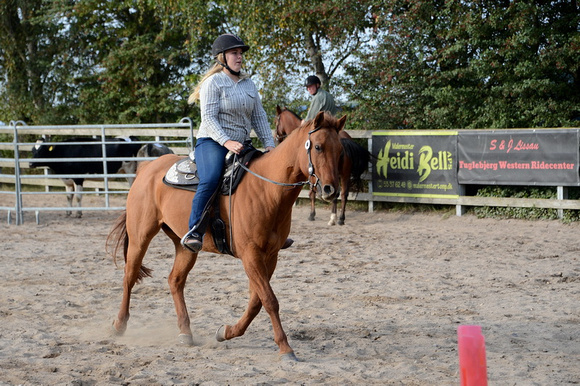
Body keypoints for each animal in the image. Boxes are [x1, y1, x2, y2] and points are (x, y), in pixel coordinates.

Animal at [107, 111, 346, 362]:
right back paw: (119, 325)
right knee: (129, 276)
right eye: (318, 147)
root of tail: (146, 169)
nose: (331, 190)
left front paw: (226, 332)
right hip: (140, 237)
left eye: (340, 150)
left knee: (175, 280)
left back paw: (185, 332)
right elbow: (269, 300)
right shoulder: (250, 255)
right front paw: (285, 348)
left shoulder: (270, 256)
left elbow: (256, 301)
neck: (266, 190)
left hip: (185, 246)